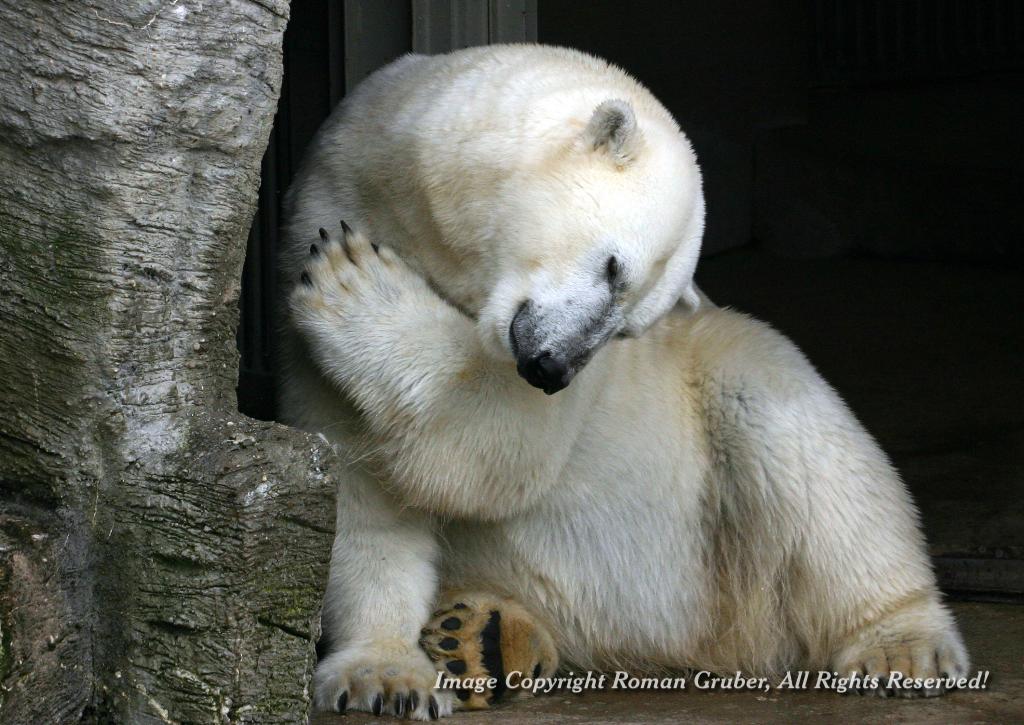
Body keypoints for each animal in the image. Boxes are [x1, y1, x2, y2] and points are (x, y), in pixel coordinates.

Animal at [278, 45, 966, 720]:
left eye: (629, 329)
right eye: (613, 266)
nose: (552, 368)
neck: (419, 207)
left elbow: (497, 451)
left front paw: (360, 286)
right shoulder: (331, 197)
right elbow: (361, 477)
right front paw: (385, 677)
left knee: (802, 440)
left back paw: (903, 646)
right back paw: (481, 638)